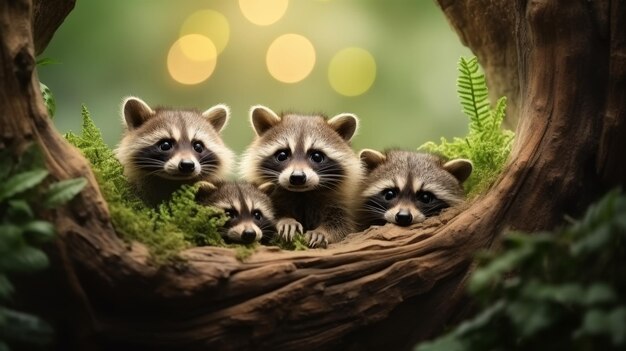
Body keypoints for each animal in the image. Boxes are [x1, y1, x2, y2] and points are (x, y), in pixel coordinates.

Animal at [240, 106, 366, 249]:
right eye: (282, 155)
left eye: (317, 156)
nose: (297, 177)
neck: (302, 194)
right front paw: (286, 220)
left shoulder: (343, 203)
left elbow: (342, 226)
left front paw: (322, 232)